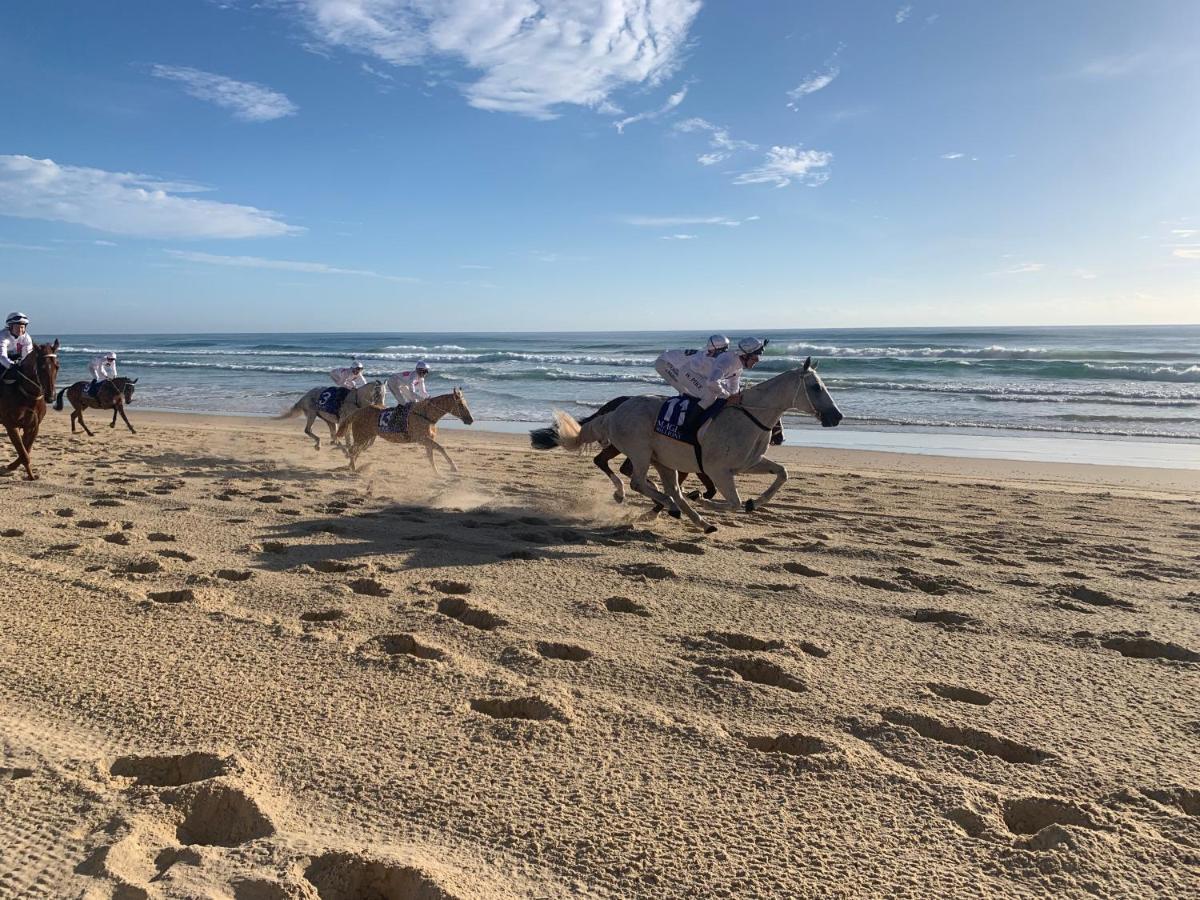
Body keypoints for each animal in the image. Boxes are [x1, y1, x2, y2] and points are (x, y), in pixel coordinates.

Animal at [0, 340, 60, 482]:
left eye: (57, 366)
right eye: (42, 367)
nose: (51, 397)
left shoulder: (33, 426)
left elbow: (26, 449)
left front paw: (13, 466)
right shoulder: (10, 425)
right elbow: (23, 452)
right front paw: (30, 475)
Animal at [336, 388, 475, 475]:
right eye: (461, 404)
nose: (471, 419)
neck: (426, 414)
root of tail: (358, 411)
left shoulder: (427, 440)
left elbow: (431, 456)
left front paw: (437, 474)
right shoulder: (422, 439)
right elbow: (441, 448)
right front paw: (453, 467)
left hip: (367, 437)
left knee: (356, 450)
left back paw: (353, 466)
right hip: (361, 436)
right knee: (352, 450)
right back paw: (353, 467)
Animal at [530, 355, 840, 532]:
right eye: (816, 387)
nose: (836, 416)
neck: (748, 417)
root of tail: (615, 411)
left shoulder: (748, 463)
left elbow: (782, 473)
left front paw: (755, 502)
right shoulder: (718, 470)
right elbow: (733, 501)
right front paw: (708, 500)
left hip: (662, 460)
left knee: (670, 490)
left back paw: (697, 519)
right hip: (640, 452)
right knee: (637, 481)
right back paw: (669, 505)